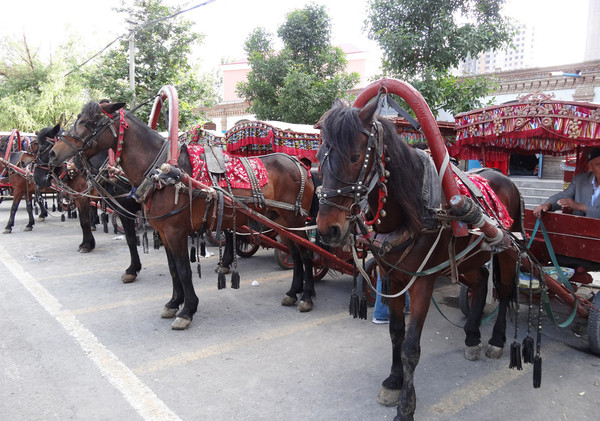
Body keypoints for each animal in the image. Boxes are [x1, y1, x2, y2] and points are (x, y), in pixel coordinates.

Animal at [48, 101, 314, 328]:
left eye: (89, 122)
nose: (53, 154)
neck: (163, 174)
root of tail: (299, 164)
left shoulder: (176, 232)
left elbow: (184, 270)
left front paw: (187, 310)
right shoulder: (165, 233)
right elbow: (173, 269)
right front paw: (174, 303)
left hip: (295, 220)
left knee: (306, 254)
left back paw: (307, 297)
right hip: (280, 221)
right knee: (295, 254)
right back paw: (293, 292)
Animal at [316, 97, 524, 420]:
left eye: (354, 157)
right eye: (318, 157)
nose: (328, 229)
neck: (413, 210)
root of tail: (505, 179)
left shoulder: (422, 282)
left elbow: (411, 346)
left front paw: (406, 406)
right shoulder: (391, 277)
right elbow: (396, 333)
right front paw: (393, 381)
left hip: (506, 251)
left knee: (502, 292)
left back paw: (497, 340)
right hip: (468, 257)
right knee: (481, 281)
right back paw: (472, 336)